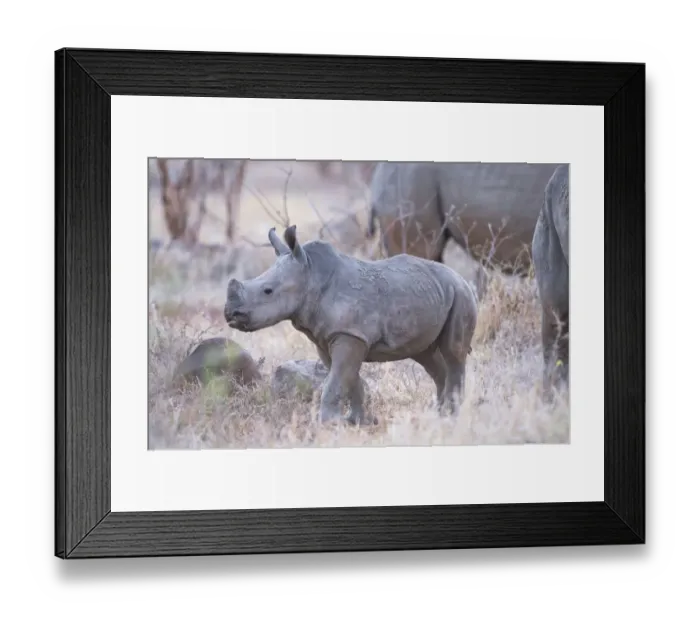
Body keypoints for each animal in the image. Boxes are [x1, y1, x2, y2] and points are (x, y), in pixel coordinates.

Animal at [224, 225, 479, 425]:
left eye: (267, 291)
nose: (229, 314)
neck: (310, 275)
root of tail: (461, 278)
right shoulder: (329, 337)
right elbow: (349, 380)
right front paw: (356, 422)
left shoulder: (351, 335)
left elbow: (337, 381)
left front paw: (326, 424)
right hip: (435, 295)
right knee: (426, 356)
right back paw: (439, 414)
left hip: (461, 295)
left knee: (453, 352)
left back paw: (451, 416)